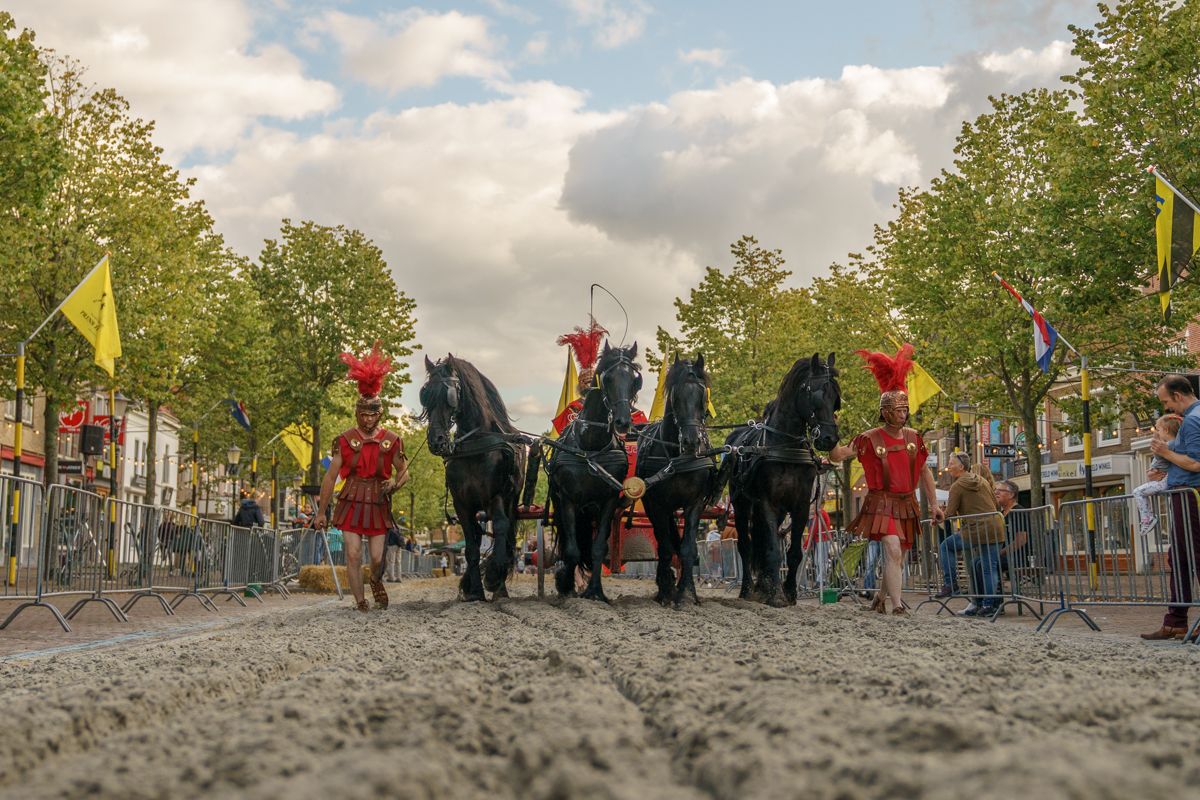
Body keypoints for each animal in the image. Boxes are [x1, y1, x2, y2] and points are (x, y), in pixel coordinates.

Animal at [419, 354, 527, 602]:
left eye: (449, 395)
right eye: (425, 394)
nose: (436, 440)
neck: (476, 445)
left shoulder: (496, 496)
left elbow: (500, 529)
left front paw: (494, 578)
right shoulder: (462, 503)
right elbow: (470, 546)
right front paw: (475, 590)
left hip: (511, 500)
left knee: (506, 535)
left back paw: (500, 586)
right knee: (478, 536)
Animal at [547, 341, 642, 602]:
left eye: (635, 380)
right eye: (606, 378)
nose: (622, 422)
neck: (591, 446)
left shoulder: (608, 500)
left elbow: (598, 548)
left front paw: (596, 591)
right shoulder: (568, 499)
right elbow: (571, 549)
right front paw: (567, 587)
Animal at [636, 354, 720, 607]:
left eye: (702, 395)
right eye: (675, 395)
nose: (692, 441)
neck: (679, 458)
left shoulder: (695, 503)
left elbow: (687, 548)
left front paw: (686, 593)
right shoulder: (658, 505)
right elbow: (664, 547)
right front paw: (666, 591)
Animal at [721, 353, 840, 607]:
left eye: (836, 398)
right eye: (817, 394)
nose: (829, 439)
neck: (785, 445)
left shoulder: (800, 505)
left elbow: (793, 552)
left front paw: (790, 592)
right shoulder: (767, 503)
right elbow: (774, 551)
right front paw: (775, 594)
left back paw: (762, 585)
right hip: (742, 504)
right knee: (746, 547)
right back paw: (748, 589)